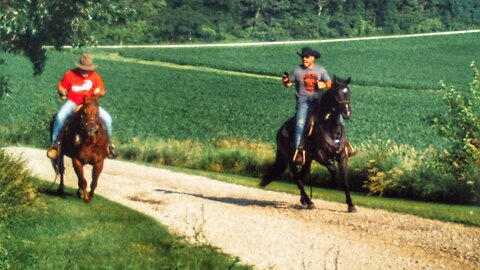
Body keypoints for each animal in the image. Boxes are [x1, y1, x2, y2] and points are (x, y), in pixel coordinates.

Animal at [260, 76, 354, 213]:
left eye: (349, 92)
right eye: (337, 93)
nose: (347, 112)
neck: (330, 129)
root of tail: (280, 132)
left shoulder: (342, 157)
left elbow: (345, 180)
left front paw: (351, 205)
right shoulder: (319, 155)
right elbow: (332, 168)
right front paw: (332, 182)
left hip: (307, 160)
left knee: (302, 176)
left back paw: (304, 200)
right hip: (292, 160)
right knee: (297, 179)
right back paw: (310, 202)